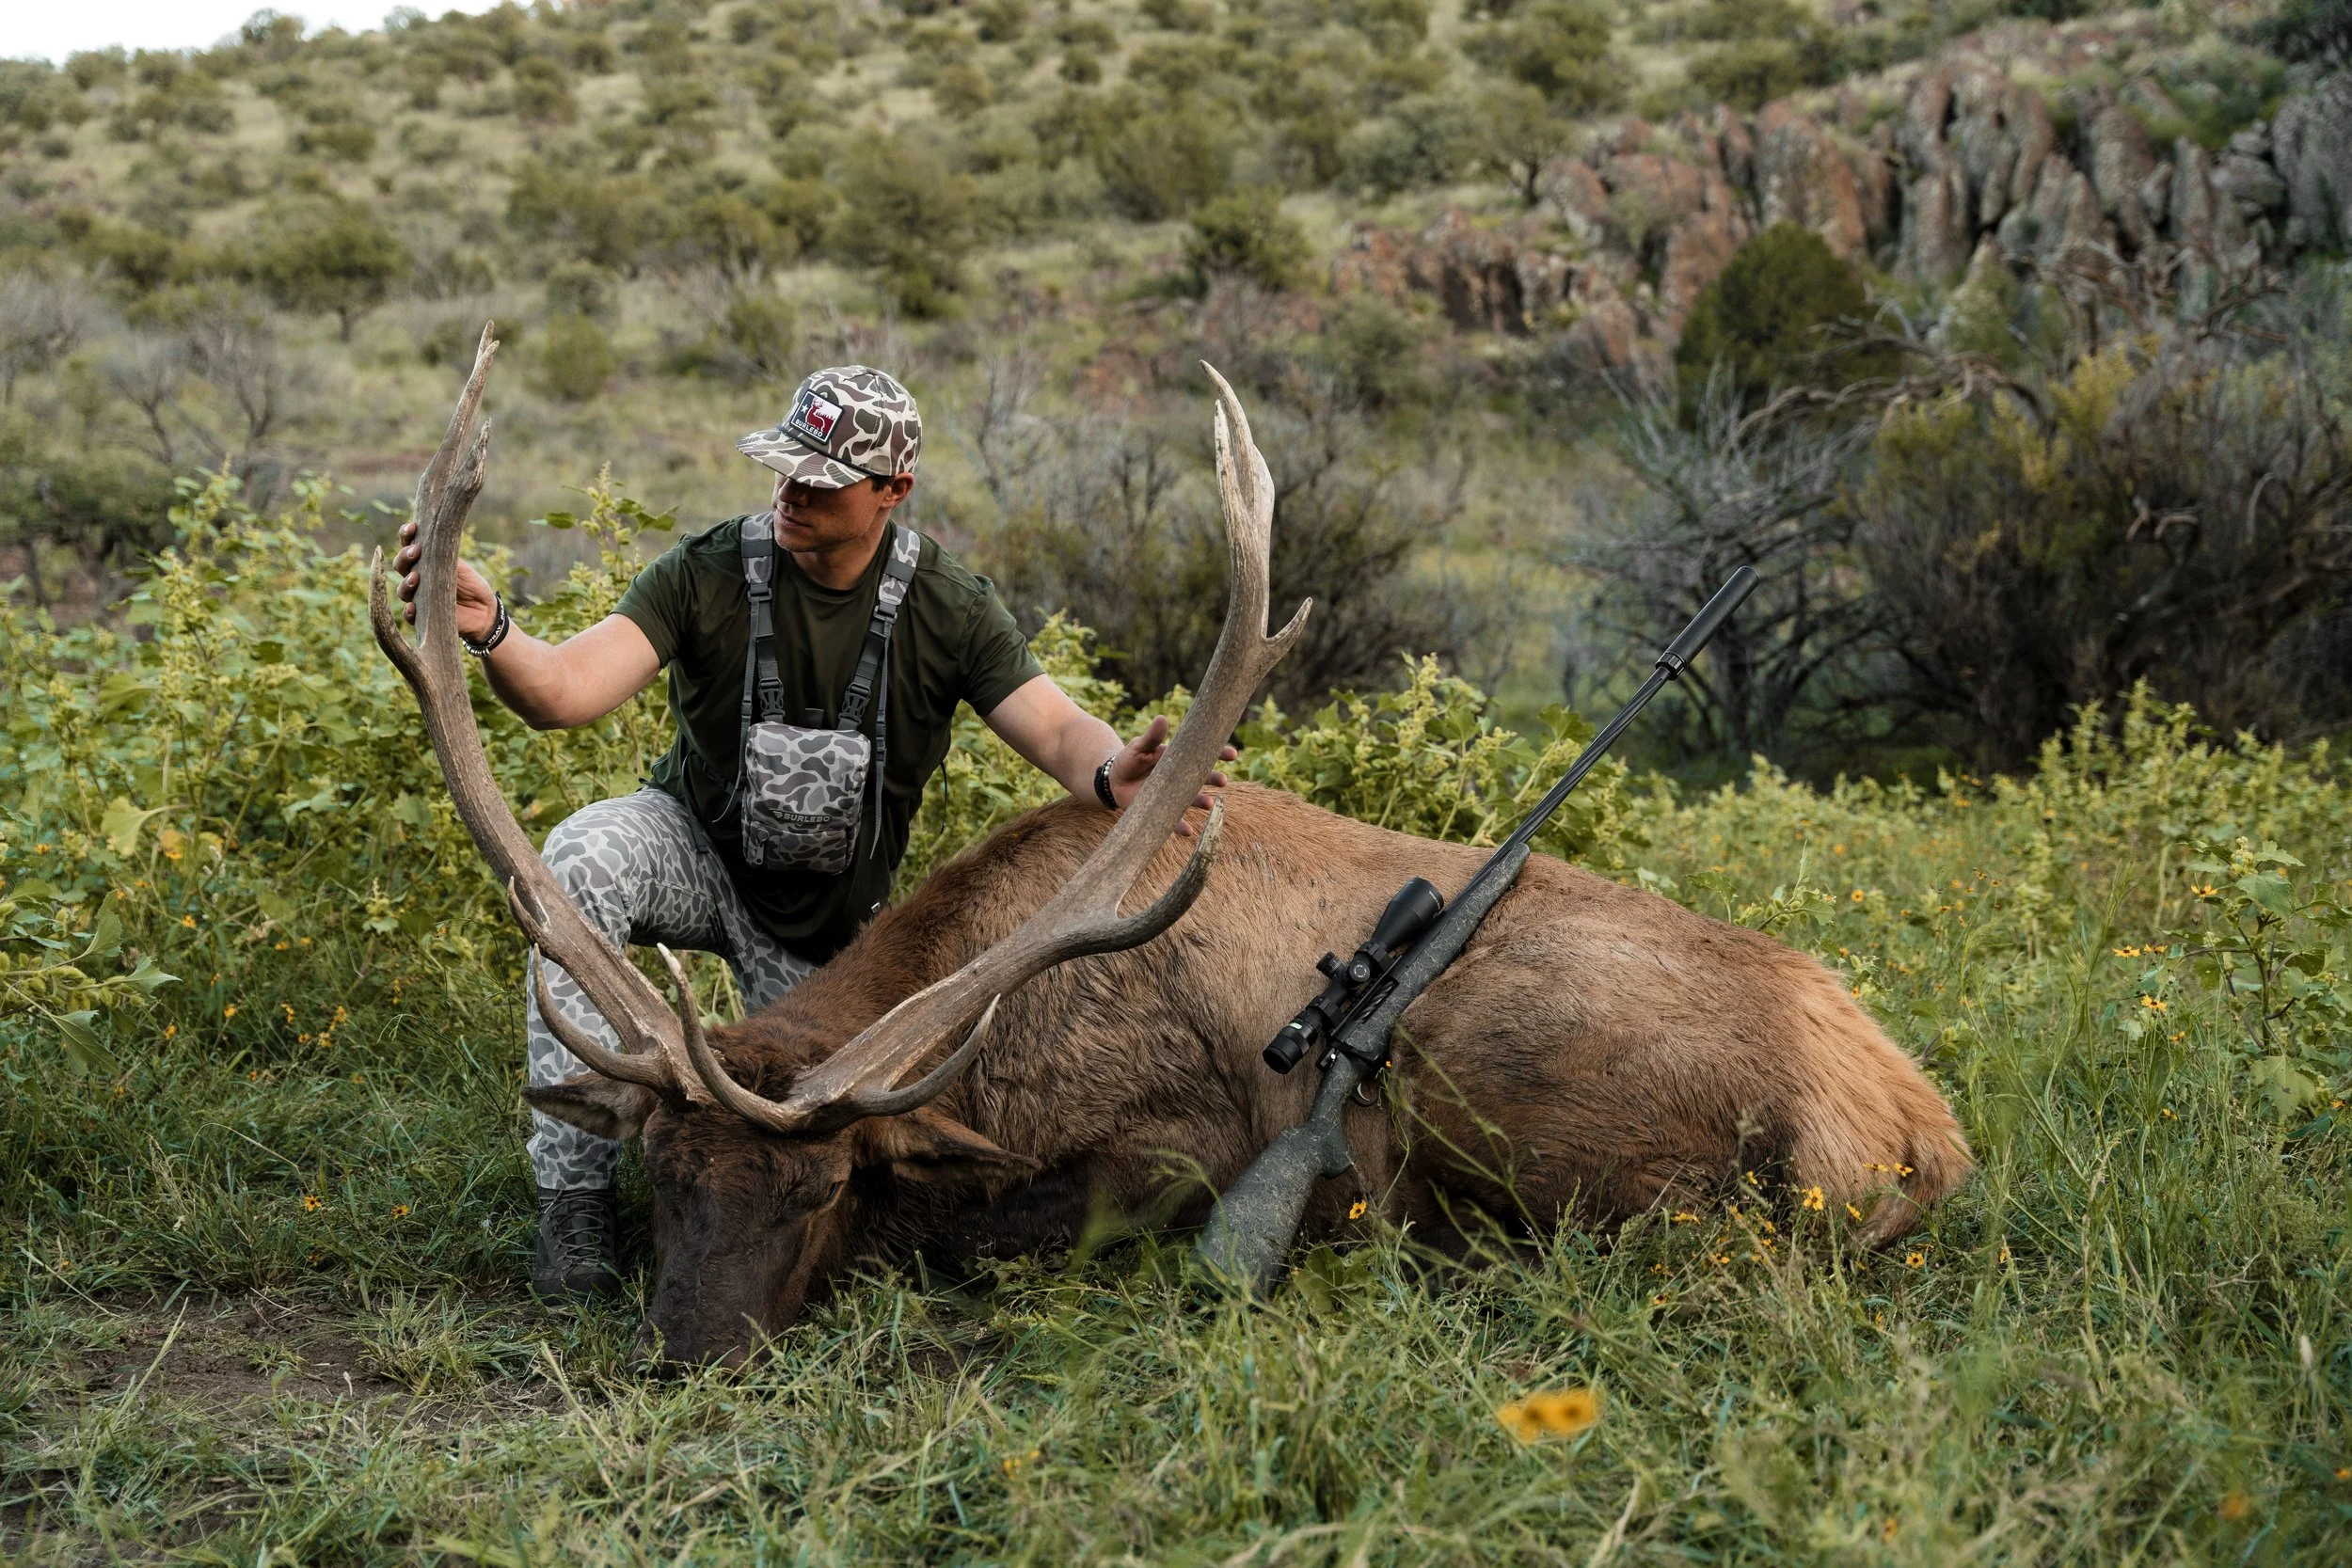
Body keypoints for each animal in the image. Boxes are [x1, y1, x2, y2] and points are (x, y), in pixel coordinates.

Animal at [372, 329, 1972, 1367]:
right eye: (665, 1172)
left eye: (823, 1187)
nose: (684, 1353)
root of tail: (1921, 1128)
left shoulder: (1179, 1148)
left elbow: (1006, 1228)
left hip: (1513, 1080)